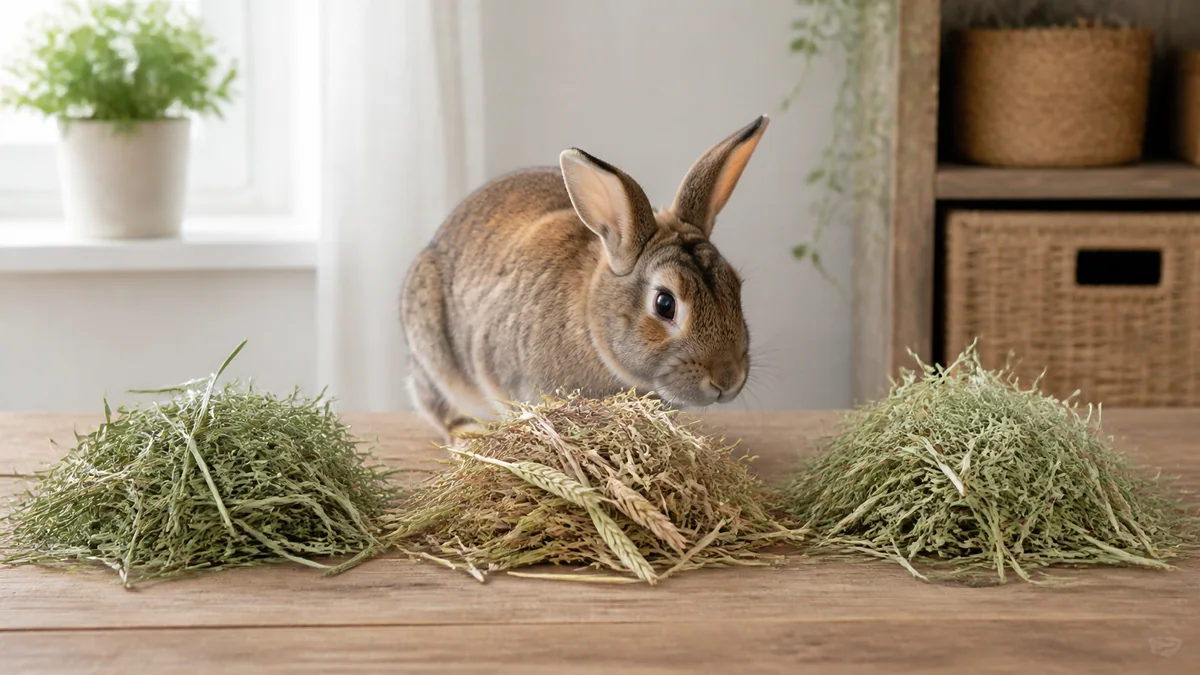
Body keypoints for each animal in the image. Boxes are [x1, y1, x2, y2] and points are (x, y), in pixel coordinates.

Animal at [400, 114, 769, 443]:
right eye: (665, 304)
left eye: (736, 287)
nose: (727, 380)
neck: (593, 326)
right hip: (431, 351)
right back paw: (468, 434)